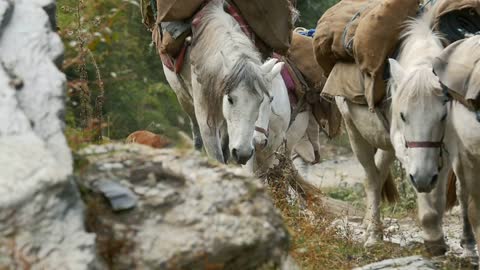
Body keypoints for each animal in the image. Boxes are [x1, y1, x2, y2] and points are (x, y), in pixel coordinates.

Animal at [163, 0, 284, 165]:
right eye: (230, 99)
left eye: (262, 101)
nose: (244, 154)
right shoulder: (206, 120)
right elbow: (216, 155)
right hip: (183, 98)